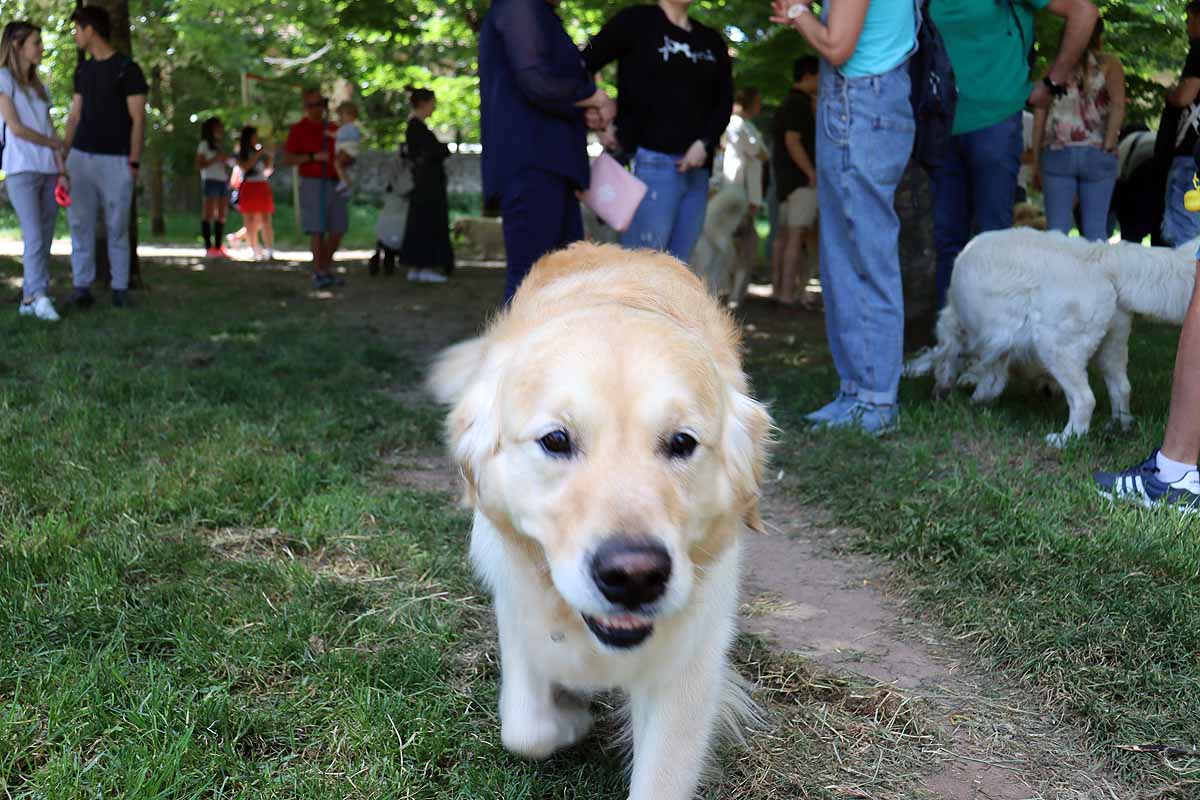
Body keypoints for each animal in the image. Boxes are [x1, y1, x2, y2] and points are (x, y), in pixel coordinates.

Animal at [427, 244, 772, 800]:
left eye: (682, 442)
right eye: (555, 440)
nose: (634, 576)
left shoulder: (690, 662)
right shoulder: (516, 595)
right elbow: (525, 728)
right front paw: (570, 720)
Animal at [902, 227, 1195, 448]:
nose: (937, 395)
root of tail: (1096, 254)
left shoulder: (985, 334)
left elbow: (974, 367)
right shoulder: (999, 341)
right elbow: (992, 374)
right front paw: (978, 396)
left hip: (1056, 346)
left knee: (1084, 399)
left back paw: (1066, 439)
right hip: (1112, 345)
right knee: (1121, 387)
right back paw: (1118, 426)